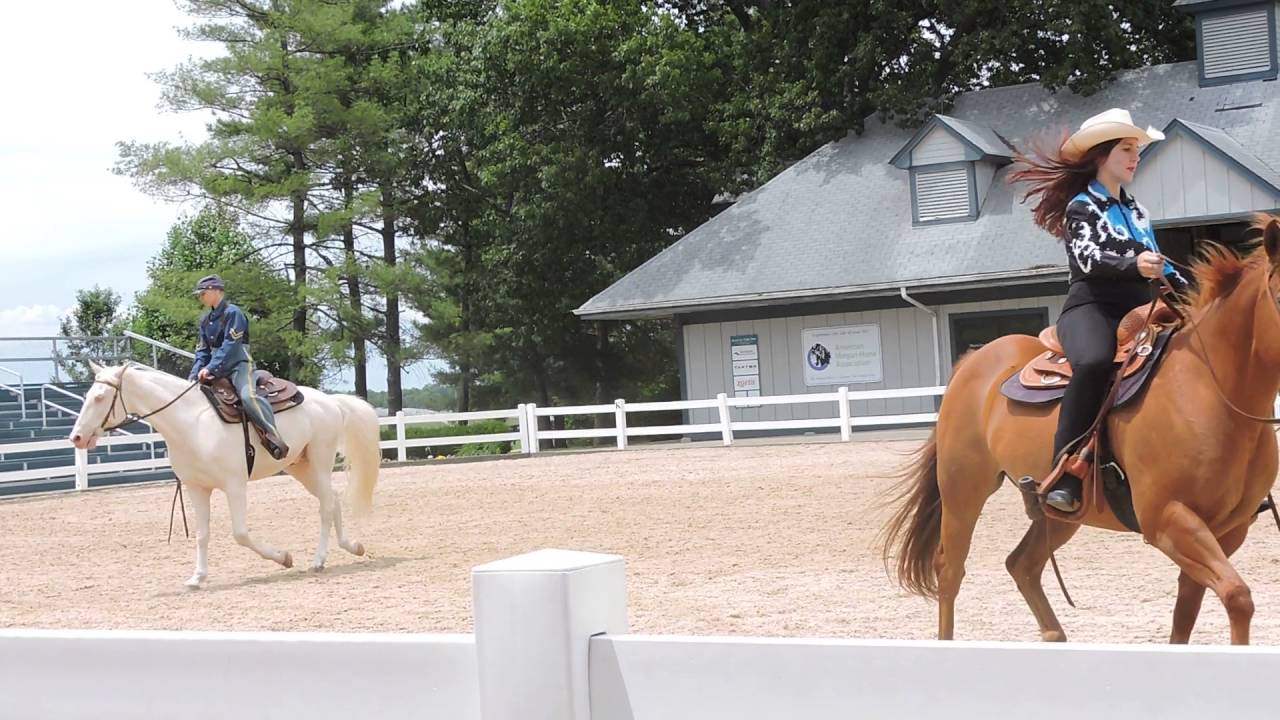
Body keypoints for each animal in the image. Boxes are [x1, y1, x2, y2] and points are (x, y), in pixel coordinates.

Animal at [67, 361, 383, 589]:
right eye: (86, 396)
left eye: (99, 397)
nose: (77, 438)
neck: (191, 423)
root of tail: (330, 401)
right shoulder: (196, 488)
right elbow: (202, 534)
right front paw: (197, 577)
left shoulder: (235, 484)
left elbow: (240, 534)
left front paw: (283, 557)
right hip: (300, 467)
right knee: (333, 499)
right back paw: (352, 547)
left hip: (319, 460)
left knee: (327, 504)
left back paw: (319, 559)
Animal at [880, 213, 1280, 645]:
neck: (1208, 387)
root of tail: (972, 360)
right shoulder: (1167, 519)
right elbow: (1237, 595)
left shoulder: (1230, 529)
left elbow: (1188, 611)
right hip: (963, 490)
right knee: (950, 570)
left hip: (1059, 513)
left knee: (1022, 564)